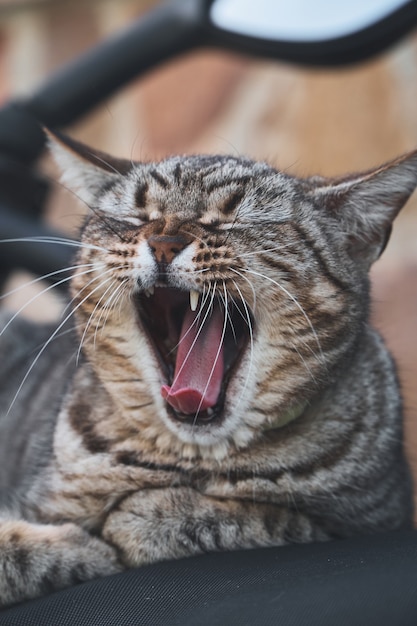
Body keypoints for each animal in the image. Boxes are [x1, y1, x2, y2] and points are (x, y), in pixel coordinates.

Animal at [0, 129, 414, 608]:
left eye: (231, 220)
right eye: (139, 216)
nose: (164, 243)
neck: (191, 457)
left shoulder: (367, 521)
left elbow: (266, 517)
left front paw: (150, 514)